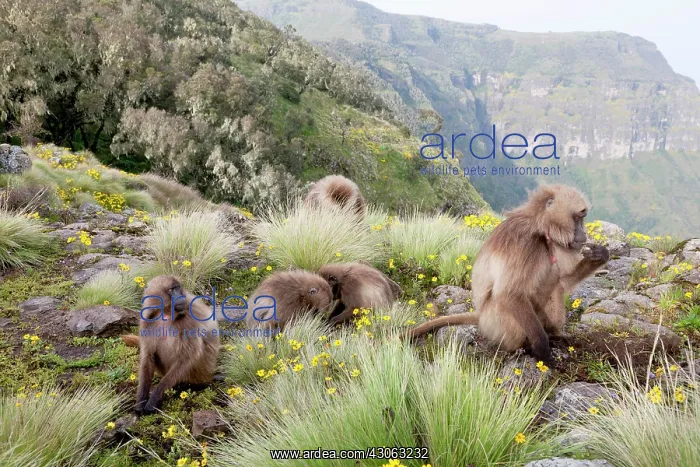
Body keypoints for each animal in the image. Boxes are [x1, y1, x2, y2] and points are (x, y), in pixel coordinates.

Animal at [121, 275, 219, 413]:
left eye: (178, 288)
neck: (166, 313)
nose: (181, 297)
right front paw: (141, 400)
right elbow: (148, 355)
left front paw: (154, 398)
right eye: (172, 290)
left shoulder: (188, 320)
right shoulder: (147, 321)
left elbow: (188, 356)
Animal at [405, 185, 609, 365]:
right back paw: (523, 347)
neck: (541, 230)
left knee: (554, 286)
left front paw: (600, 255)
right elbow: (509, 293)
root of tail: (480, 315)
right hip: (494, 321)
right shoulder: (525, 244)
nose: (584, 234)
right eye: (578, 218)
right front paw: (542, 348)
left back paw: (554, 334)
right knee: (505, 301)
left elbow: (563, 281)